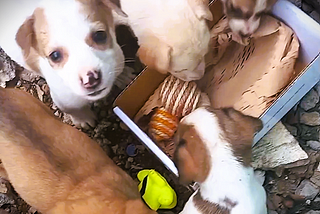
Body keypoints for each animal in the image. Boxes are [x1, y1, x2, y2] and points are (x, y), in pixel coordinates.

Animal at [0, 0, 127, 129]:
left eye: (100, 35)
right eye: (55, 56)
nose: (90, 79)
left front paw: (123, 75)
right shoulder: (64, 100)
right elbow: (74, 110)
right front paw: (83, 119)